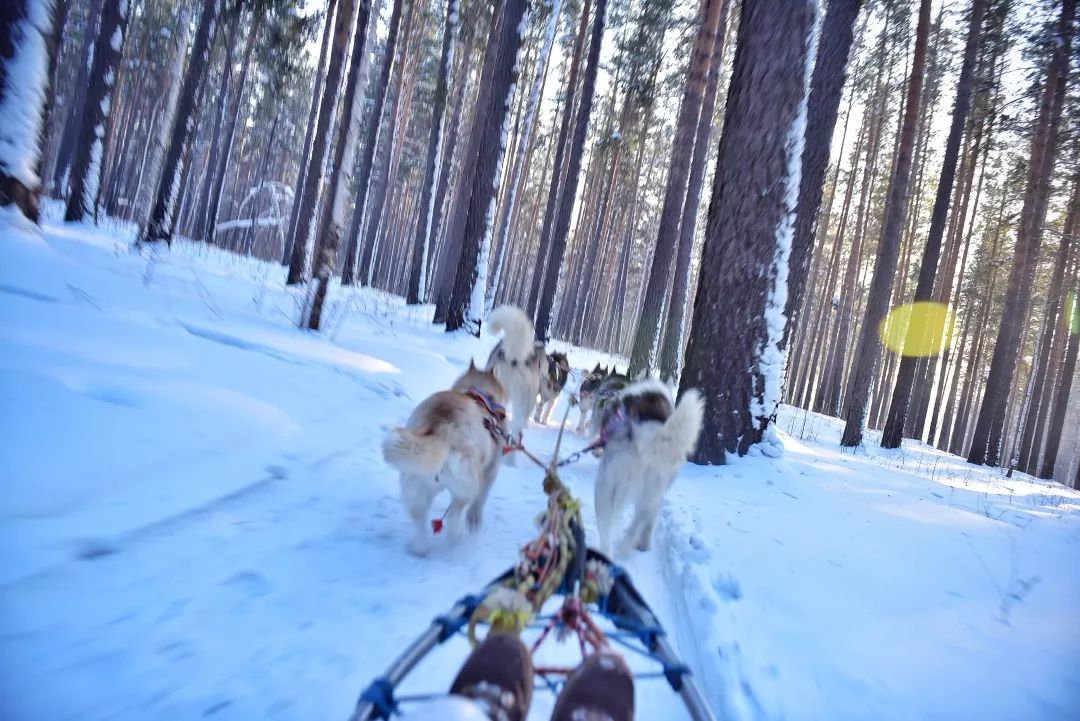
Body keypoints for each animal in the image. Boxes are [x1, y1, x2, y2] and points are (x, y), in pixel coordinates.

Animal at [384, 360, 509, 556]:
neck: (480, 395)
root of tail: (441, 426)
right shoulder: (491, 470)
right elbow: (481, 499)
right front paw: (474, 518)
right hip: (467, 484)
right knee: (454, 514)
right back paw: (455, 535)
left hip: (416, 484)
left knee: (419, 519)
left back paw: (421, 547)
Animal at [596, 379, 704, 556]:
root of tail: (647, 439)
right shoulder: (657, 497)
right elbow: (649, 522)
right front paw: (644, 544)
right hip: (646, 492)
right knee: (637, 521)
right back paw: (625, 547)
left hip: (607, 486)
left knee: (607, 529)